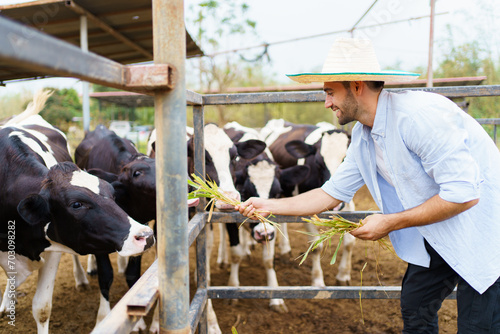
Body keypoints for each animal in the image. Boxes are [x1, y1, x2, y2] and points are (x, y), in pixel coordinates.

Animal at [262, 119, 356, 288]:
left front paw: (343, 275)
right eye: (319, 163)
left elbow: (349, 242)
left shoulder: (348, 204)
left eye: (346, 159)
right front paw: (317, 281)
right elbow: (316, 246)